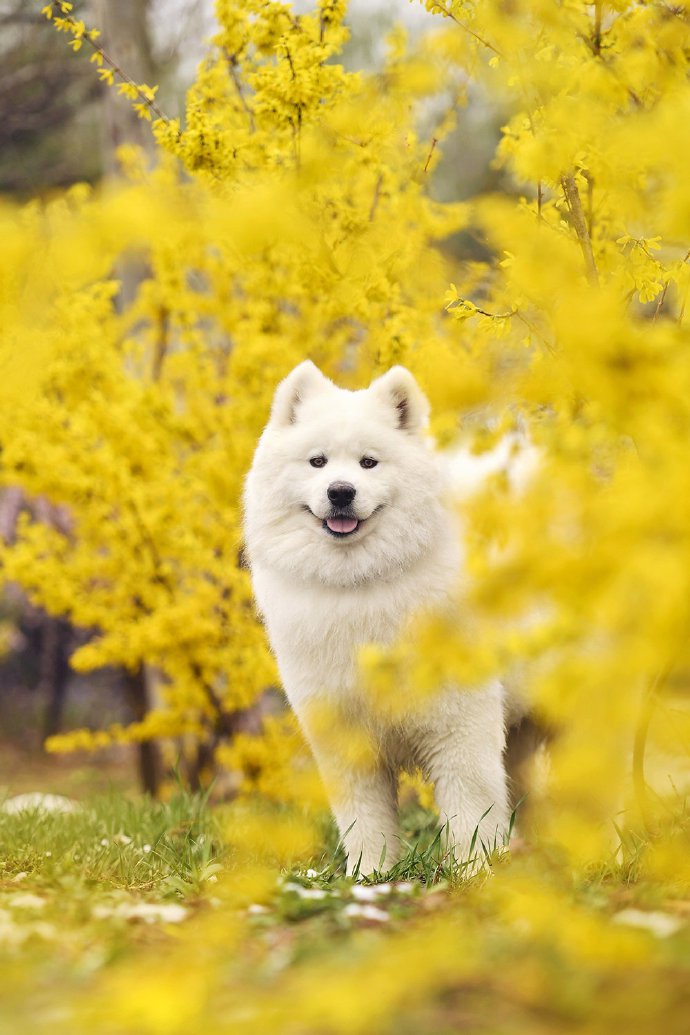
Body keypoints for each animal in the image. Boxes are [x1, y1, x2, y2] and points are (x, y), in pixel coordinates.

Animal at [245, 364, 511, 873]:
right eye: (317, 462)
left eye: (369, 463)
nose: (340, 492)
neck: (361, 585)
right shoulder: (344, 733)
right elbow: (363, 818)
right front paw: (371, 875)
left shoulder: (460, 723)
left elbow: (470, 808)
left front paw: (475, 872)